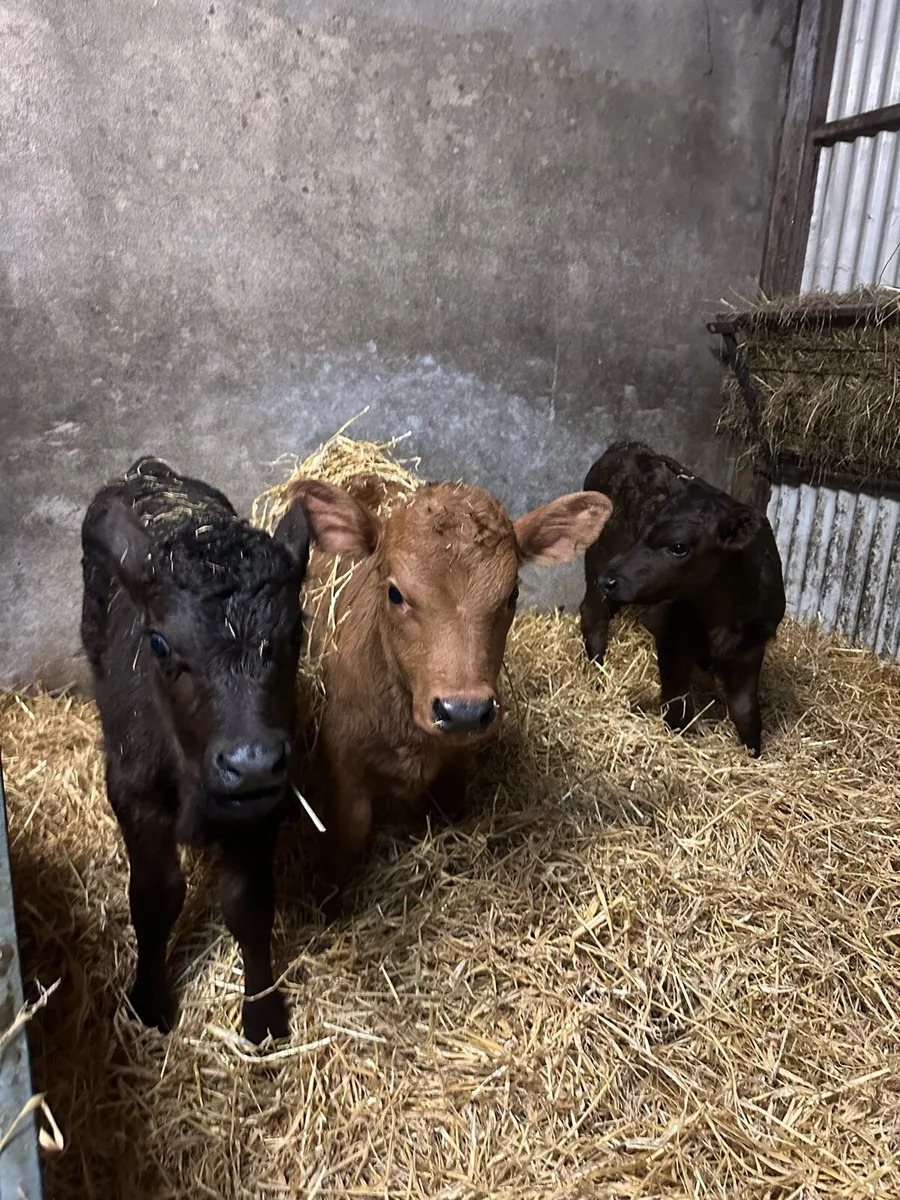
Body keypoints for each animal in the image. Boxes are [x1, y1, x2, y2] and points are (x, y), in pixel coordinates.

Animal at [81, 457, 312, 1042]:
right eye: (160, 644)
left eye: (296, 634)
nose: (250, 763)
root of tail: (149, 469)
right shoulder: (133, 791)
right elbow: (155, 897)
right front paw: (148, 1001)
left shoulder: (262, 801)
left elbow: (249, 903)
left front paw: (262, 1013)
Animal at [281, 476, 613, 891]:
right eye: (394, 593)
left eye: (512, 594)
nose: (465, 712)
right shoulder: (344, 770)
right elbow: (346, 839)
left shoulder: (455, 767)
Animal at [579, 441, 785, 756]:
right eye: (642, 533)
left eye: (679, 547)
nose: (609, 580)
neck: (722, 615)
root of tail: (626, 446)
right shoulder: (672, 638)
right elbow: (678, 706)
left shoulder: (751, 648)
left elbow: (746, 712)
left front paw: (755, 754)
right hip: (597, 558)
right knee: (593, 615)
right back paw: (599, 672)